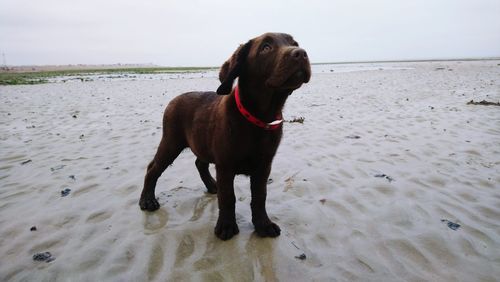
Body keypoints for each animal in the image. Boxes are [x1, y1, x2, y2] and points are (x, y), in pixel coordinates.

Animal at [141, 32, 310, 240]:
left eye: (294, 43)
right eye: (266, 47)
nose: (301, 53)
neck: (258, 118)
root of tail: (174, 99)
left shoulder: (264, 166)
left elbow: (259, 196)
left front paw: (263, 224)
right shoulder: (225, 165)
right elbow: (228, 197)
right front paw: (226, 226)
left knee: (200, 163)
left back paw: (212, 186)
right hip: (171, 142)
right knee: (153, 168)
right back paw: (147, 200)